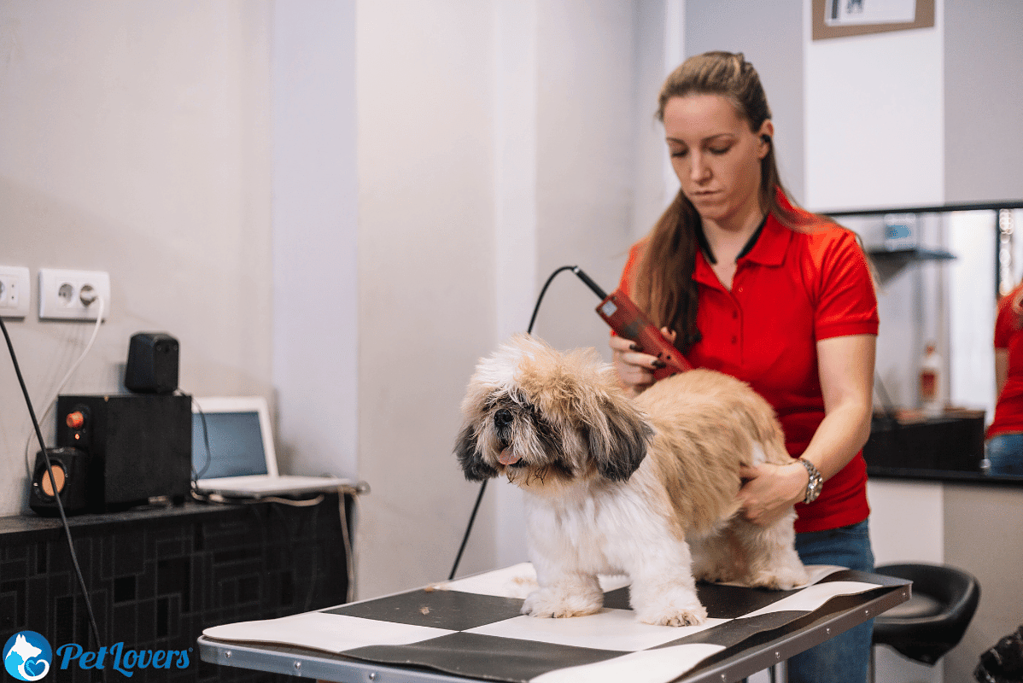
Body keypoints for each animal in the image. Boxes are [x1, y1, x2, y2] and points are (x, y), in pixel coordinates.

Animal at [456, 333, 806, 625]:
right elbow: (566, 580)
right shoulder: (556, 547)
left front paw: (673, 611)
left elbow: (662, 578)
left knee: (772, 537)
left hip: (766, 491)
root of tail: (740, 389)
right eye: (492, 404)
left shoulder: (653, 538)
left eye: (534, 409)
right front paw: (564, 602)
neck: (577, 491)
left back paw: (779, 574)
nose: (503, 416)